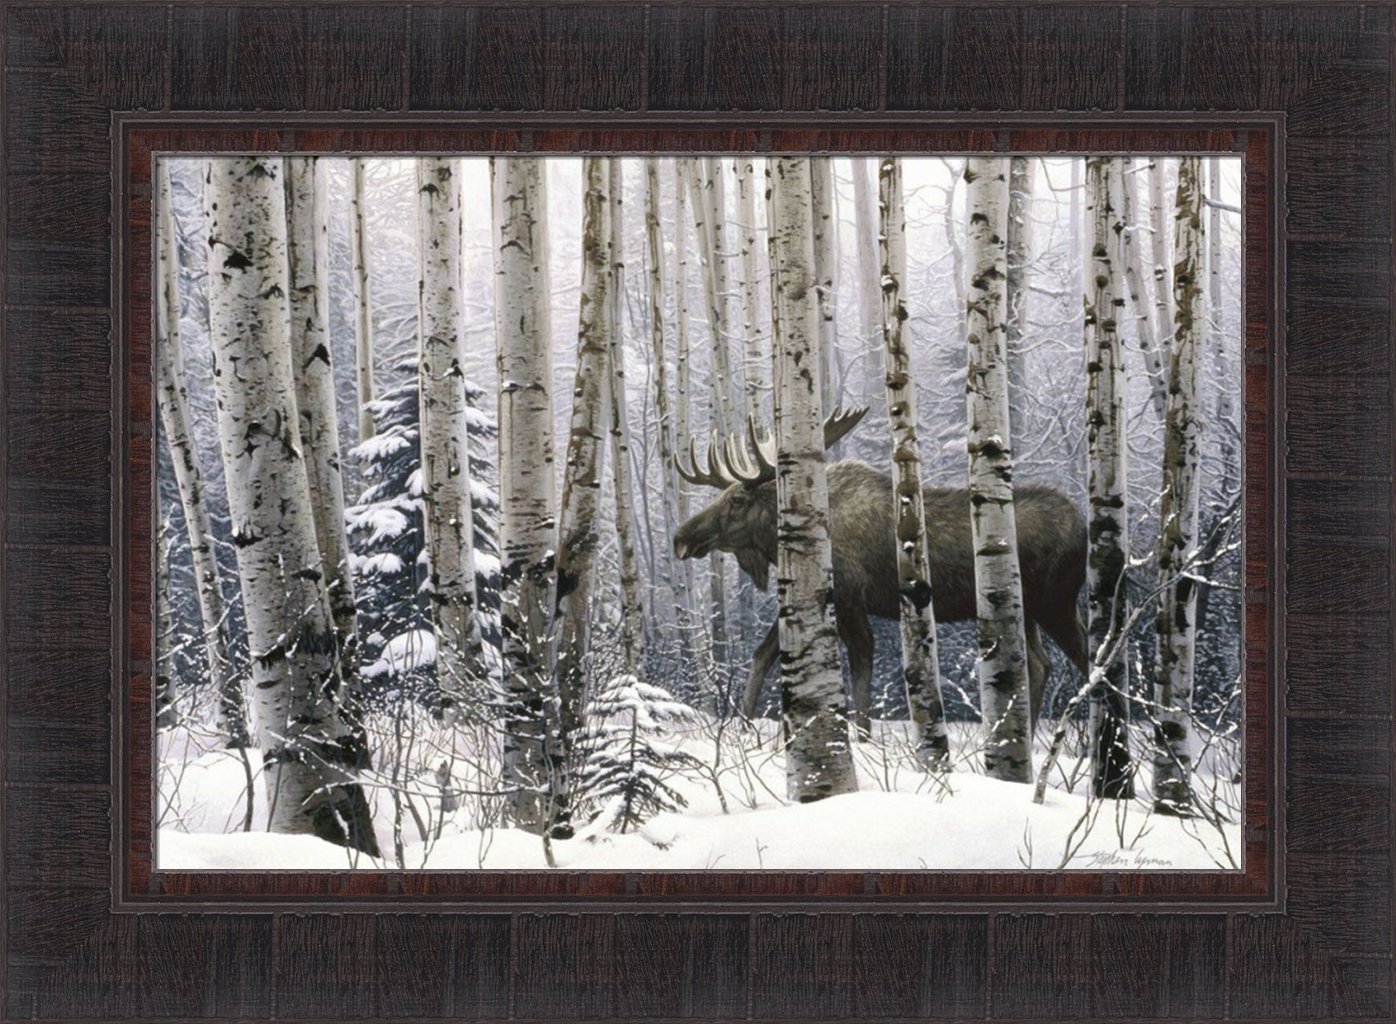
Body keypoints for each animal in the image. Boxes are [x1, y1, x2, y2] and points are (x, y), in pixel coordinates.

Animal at [671, 407, 1091, 737]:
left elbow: (860, 676)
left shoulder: (850, 599)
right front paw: (741, 729)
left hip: (1055, 601)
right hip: (1026, 608)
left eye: (738, 501)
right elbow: (762, 655)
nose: (680, 536)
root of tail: (1083, 525)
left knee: (1089, 654)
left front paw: (863, 741)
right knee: (1041, 664)